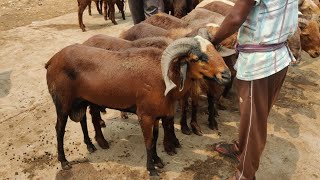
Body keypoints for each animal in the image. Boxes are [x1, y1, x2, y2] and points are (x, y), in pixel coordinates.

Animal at [45, 36, 230, 176]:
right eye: (196, 58)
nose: (227, 75)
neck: (164, 77)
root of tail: (52, 60)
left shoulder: (156, 115)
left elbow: (155, 138)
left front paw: (158, 160)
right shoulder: (145, 115)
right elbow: (148, 141)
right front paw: (152, 169)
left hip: (81, 100)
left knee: (83, 120)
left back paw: (91, 145)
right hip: (62, 103)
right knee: (59, 129)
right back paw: (64, 161)